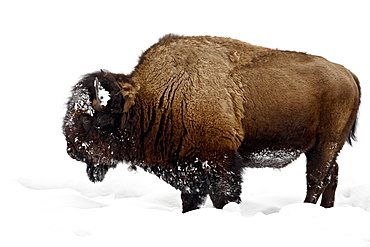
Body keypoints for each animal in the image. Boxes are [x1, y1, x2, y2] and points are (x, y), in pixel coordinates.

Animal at [62, 33, 360, 213]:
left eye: (87, 120)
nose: (71, 150)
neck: (154, 97)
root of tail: (348, 73)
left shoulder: (219, 160)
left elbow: (223, 196)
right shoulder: (188, 168)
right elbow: (190, 198)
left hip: (324, 145)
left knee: (316, 179)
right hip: (323, 149)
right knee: (330, 176)